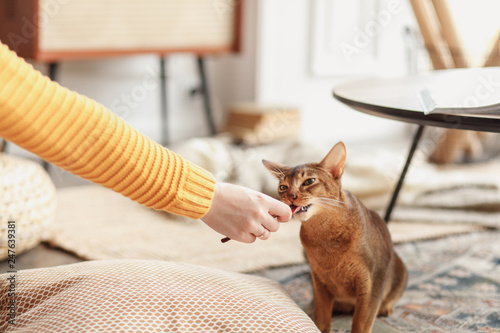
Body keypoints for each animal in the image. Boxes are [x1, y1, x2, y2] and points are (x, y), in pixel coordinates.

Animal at [262, 141, 406, 332]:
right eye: (283, 187)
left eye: (309, 181)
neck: (325, 234)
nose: (290, 197)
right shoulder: (319, 282)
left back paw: (386, 309)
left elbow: (361, 324)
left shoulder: (371, 284)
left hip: (401, 271)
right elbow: (322, 318)